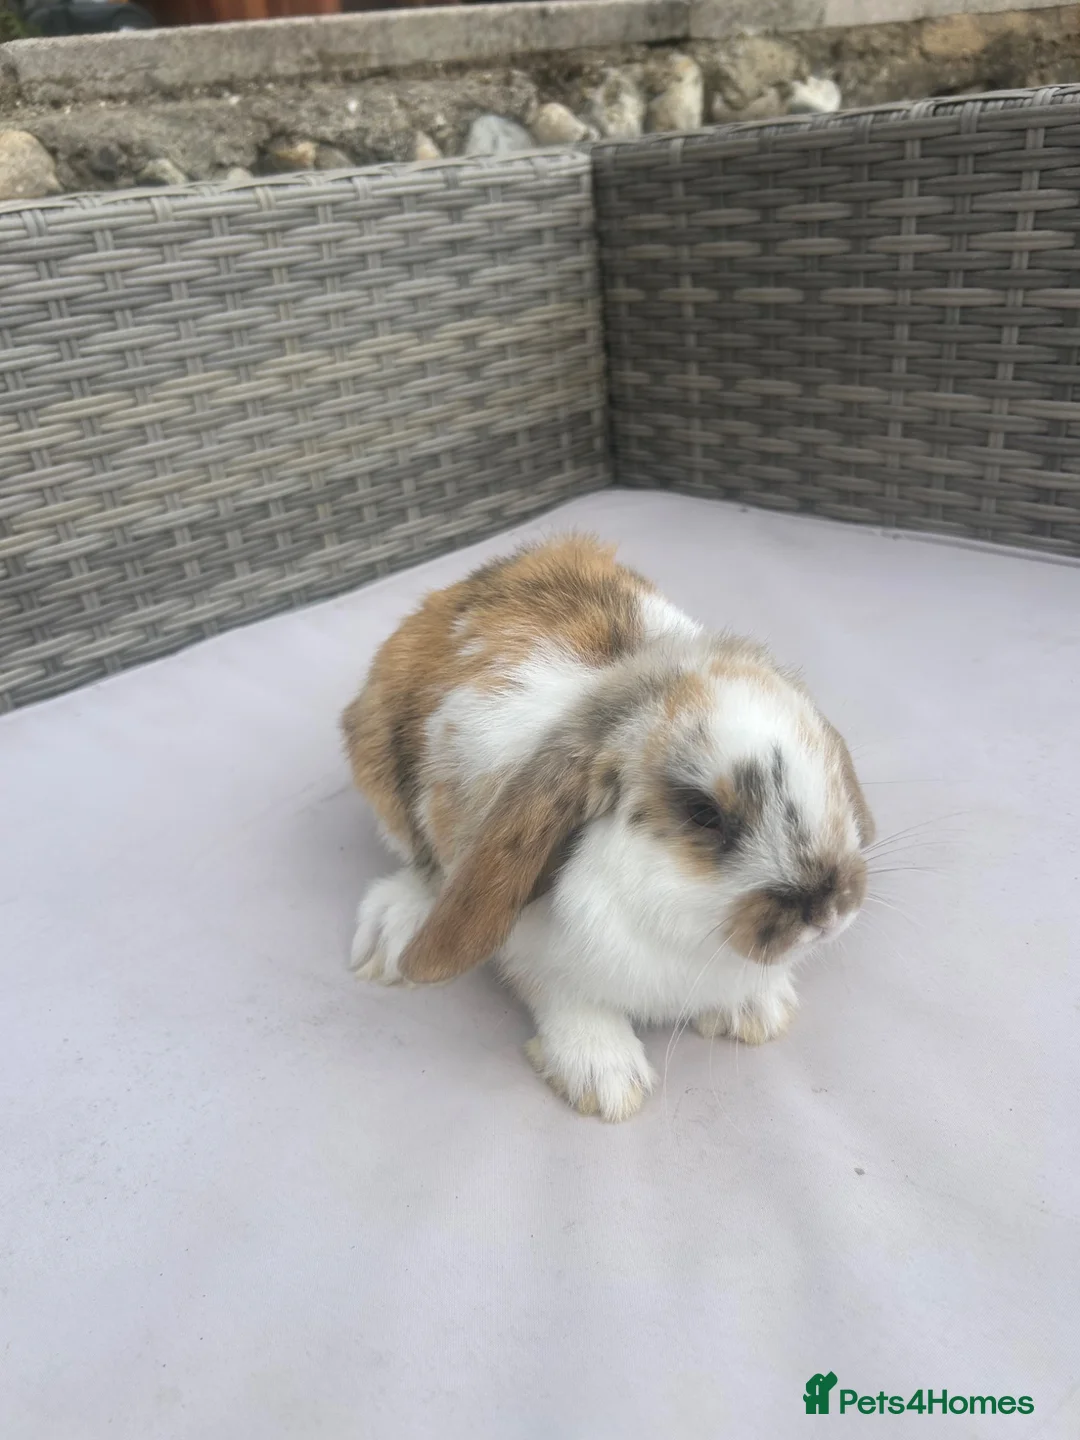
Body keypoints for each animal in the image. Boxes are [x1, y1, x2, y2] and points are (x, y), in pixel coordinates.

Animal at [341, 533, 874, 1122]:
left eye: (826, 764)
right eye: (702, 812)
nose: (829, 908)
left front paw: (757, 1011)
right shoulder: (537, 953)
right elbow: (565, 998)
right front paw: (607, 1079)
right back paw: (392, 934)